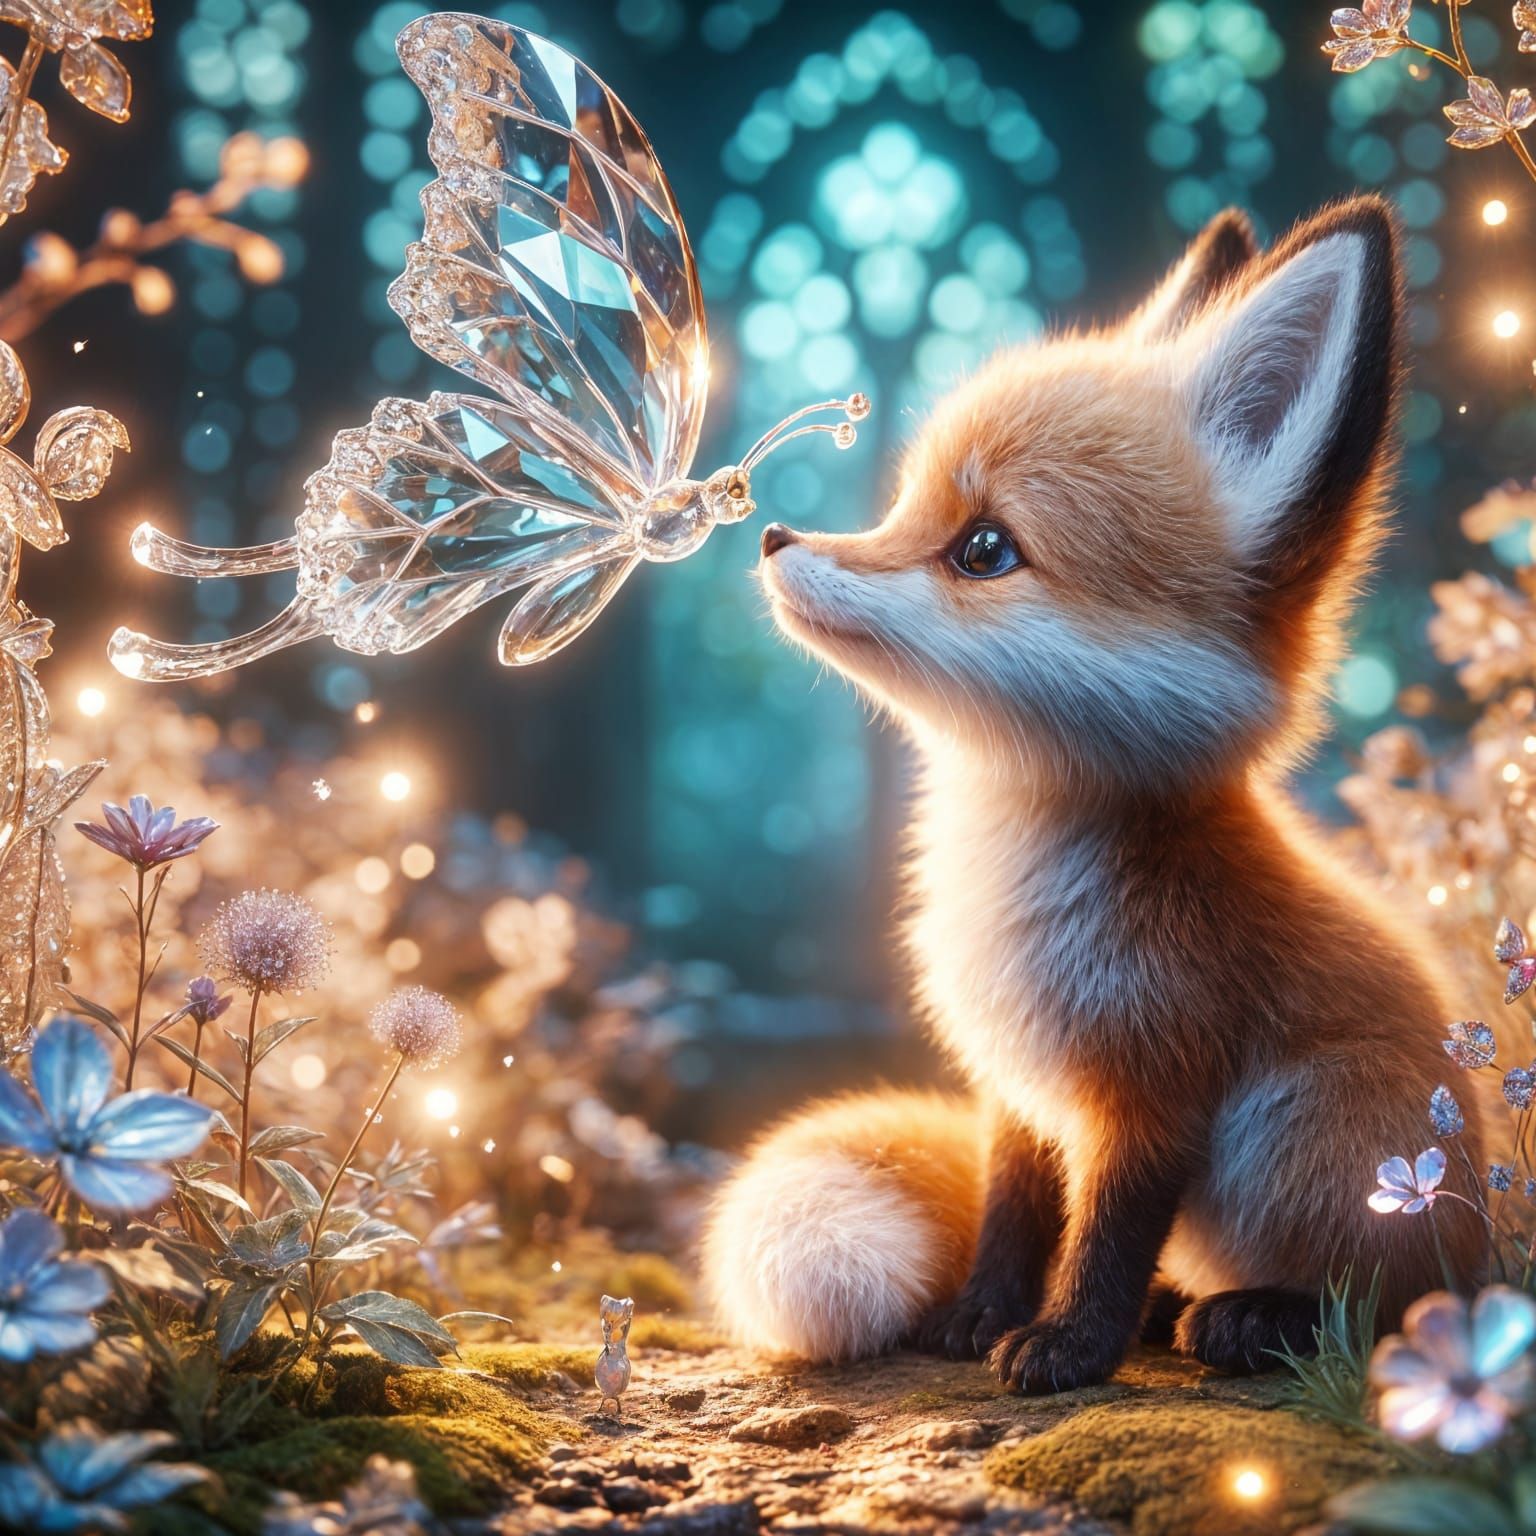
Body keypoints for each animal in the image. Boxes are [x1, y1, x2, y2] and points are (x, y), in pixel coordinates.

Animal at [700, 196, 1486, 1394]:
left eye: (983, 548)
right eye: (903, 502)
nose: (776, 535)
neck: (1016, 879)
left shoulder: (1156, 1091)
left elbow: (1108, 1234)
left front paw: (1068, 1345)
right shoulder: (1021, 1092)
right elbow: (1016, 1214)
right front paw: (978, 1319)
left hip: (1306, 1134)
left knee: (1404, 1302)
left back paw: (1255, 1319)